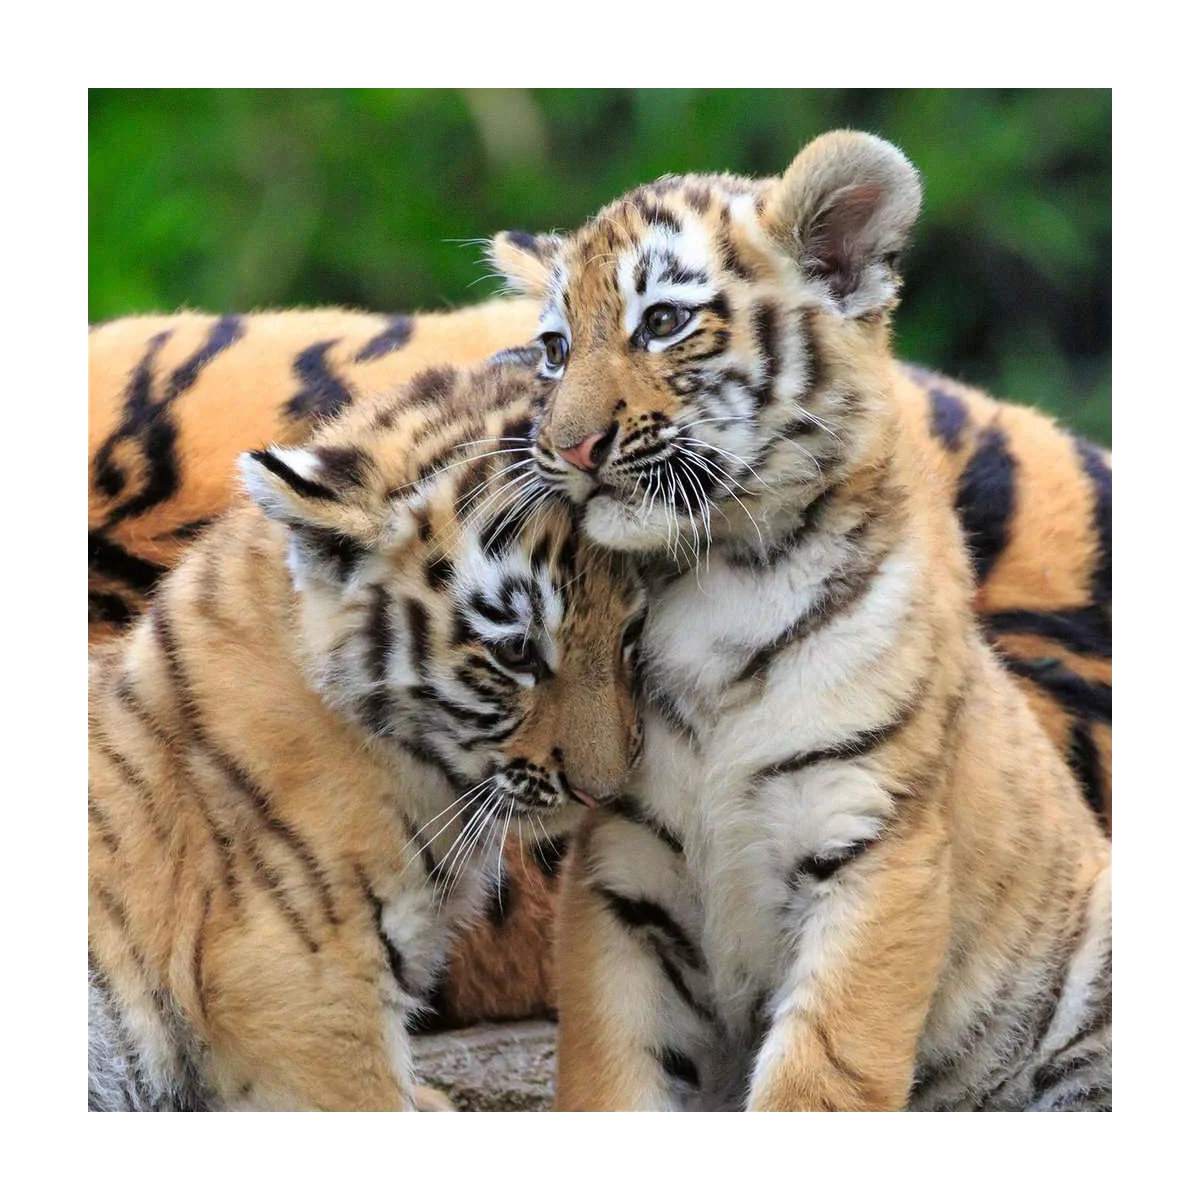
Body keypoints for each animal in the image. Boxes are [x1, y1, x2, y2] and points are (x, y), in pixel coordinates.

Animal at [486, 129, 1112, 1110]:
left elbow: (823, 1073)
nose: (567, 447)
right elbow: (610, 1073)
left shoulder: (875, 843)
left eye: (661, 323)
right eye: (554, 348)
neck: (713, 577)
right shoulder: (621, 875)